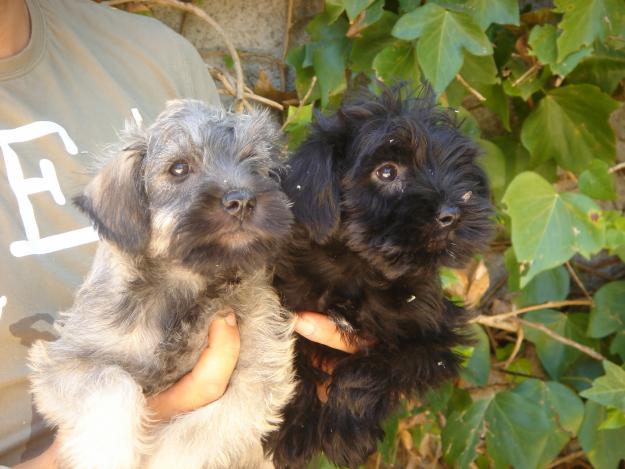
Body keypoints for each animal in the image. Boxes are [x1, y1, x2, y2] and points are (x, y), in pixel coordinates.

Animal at [26, 99, 294, 468]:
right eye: (179, 169)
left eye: (254, 163)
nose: (242, 200)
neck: (185, 287)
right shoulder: (64, 362)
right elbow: (114, 384)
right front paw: (109, 453)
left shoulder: (258, 375)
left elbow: (196, 434)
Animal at [268, 85, 492, 468]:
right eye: (387, 172)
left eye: (459, 170)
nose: (453, 213)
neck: (359, 270)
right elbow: (290, 358)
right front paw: (293, 429)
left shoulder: (434, 342)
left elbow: (372, 367)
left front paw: (346, 433)